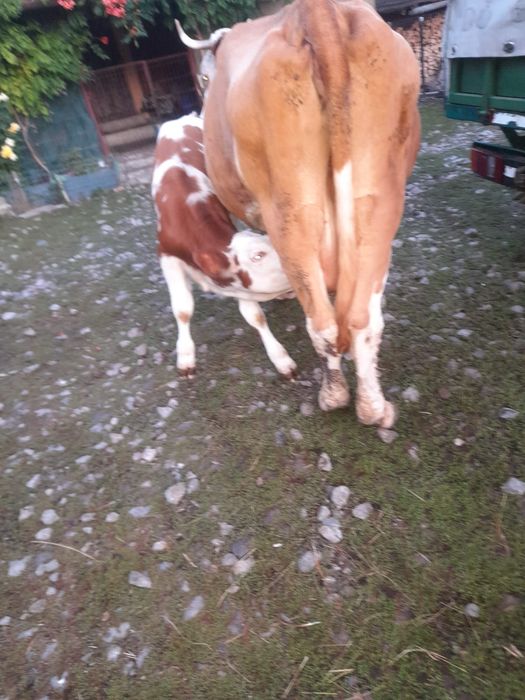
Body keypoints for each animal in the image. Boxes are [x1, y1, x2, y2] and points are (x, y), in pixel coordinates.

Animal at [152, 114, 297, 378]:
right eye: (258, 255)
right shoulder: (167, 256)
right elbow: (182, 309)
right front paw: (185, 356)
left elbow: (255, 316)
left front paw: (280, 359)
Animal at [177, 0, 421, 427]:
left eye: (204, 76)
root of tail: (315, 13)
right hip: (376, 203)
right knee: (358, 320)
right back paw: (369, 406)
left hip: (293, 207)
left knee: (326, 321)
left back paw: (337, 396)